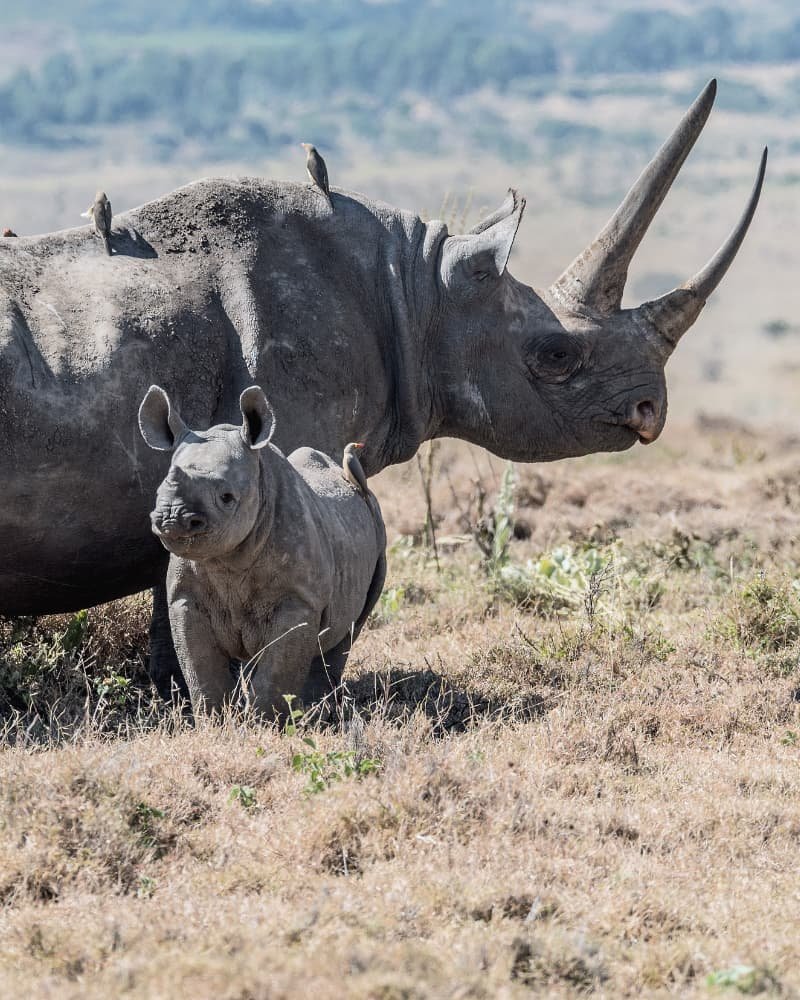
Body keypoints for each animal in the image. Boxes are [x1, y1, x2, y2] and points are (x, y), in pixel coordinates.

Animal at [139, 384, 386, 714]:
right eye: (158, 492)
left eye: (227, 497)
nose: (171, 519)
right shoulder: (185, 597)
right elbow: (201, 670)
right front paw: (215, 719)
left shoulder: (299, 601)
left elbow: (275, 675)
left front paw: (263, 722)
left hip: (377, 532)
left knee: (346, 633)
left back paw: (315, 712)